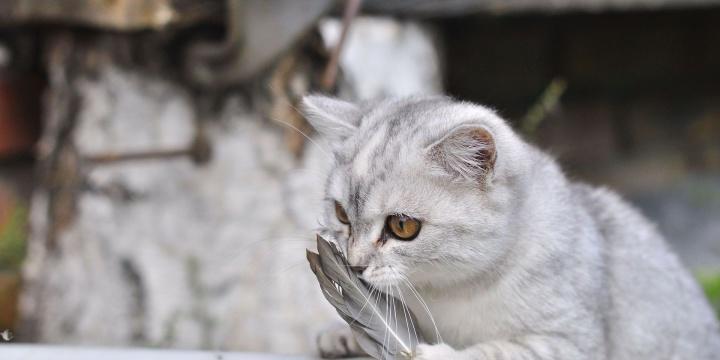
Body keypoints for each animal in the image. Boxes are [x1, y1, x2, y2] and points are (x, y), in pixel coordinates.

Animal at [304, 94, 720, 358]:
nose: (355, 265)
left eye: (402, 226)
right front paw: (343, 334)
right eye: (341, 214)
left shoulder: (570, 342)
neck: (445, 292)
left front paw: (431, 355)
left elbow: (495, 352)